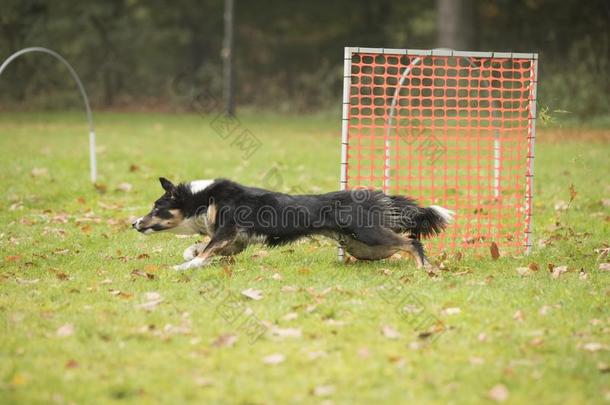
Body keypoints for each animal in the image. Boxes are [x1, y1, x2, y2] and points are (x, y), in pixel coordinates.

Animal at [132, 176, 452, 268]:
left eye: (156, 207)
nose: (134, 223)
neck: (203, 198)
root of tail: (375, 195)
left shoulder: (227, 232)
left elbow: (206, 249)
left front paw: (185, 266)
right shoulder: (235, 241)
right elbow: (202, 248)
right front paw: (191, 255)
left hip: (370, 235)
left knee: (411, 242)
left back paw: (425, 269)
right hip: (363, 247)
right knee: (403, 244)